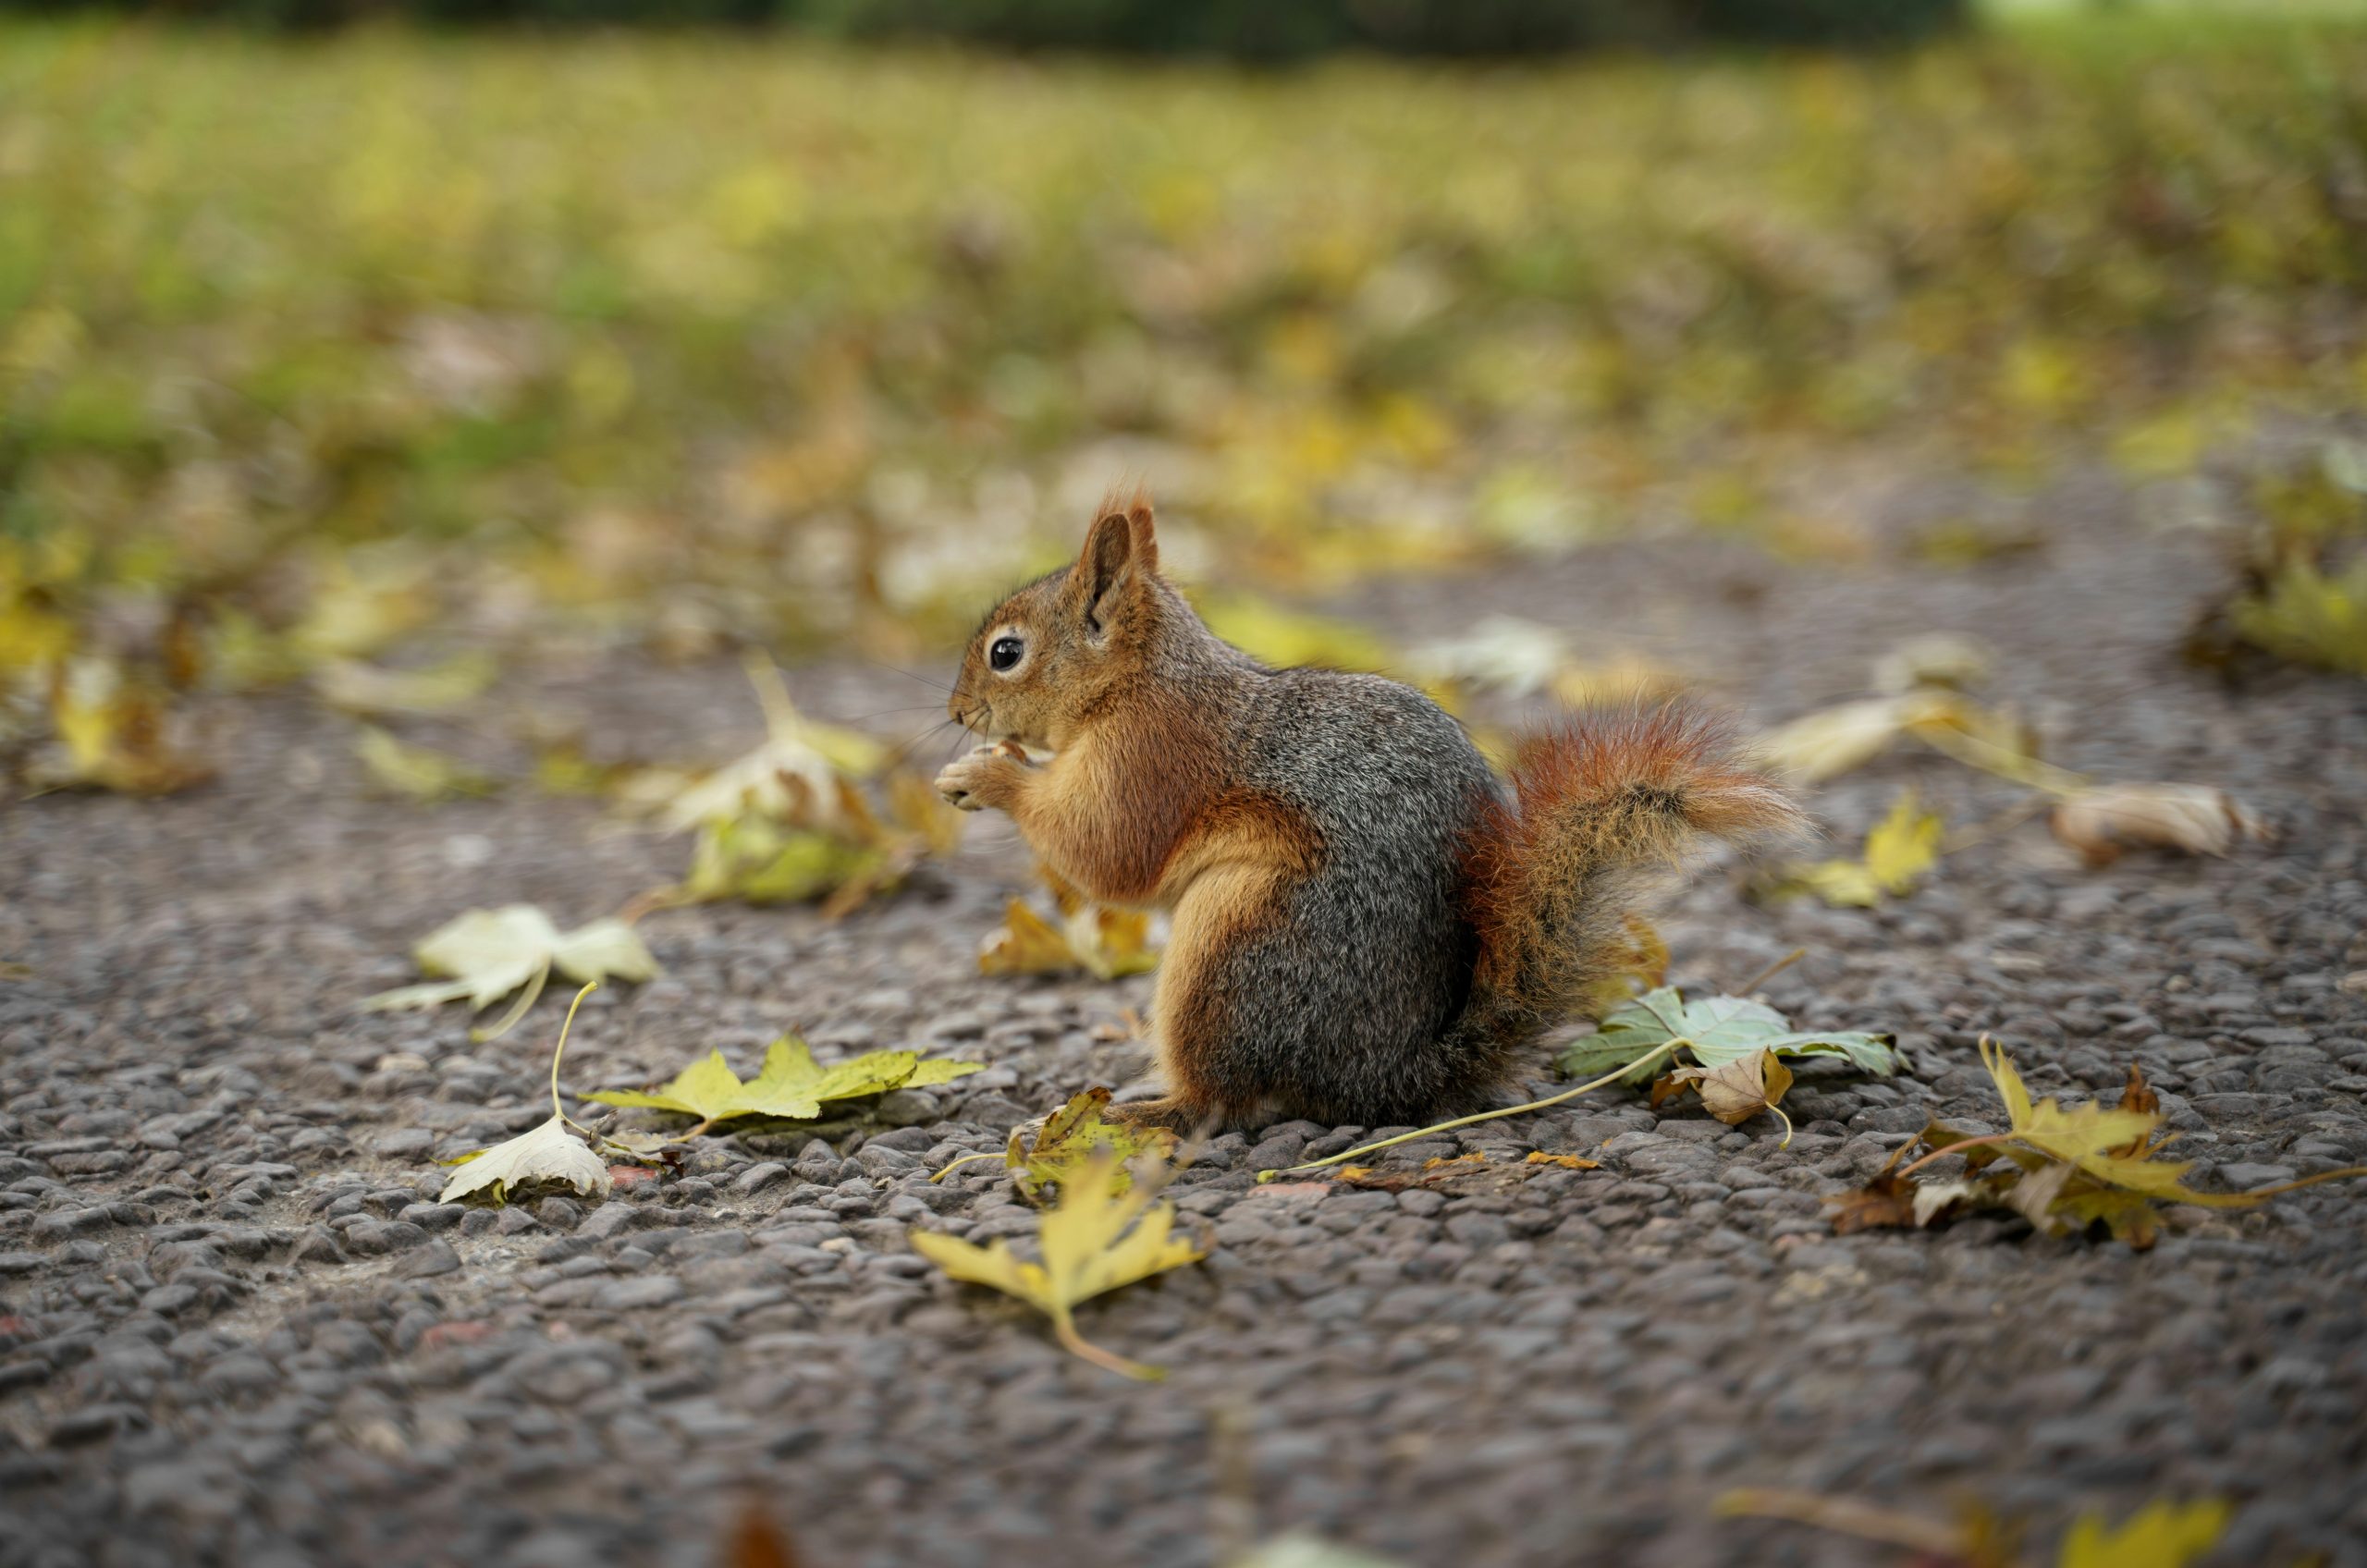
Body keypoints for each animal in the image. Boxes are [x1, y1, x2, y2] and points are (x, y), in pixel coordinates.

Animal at [934, 489, 1803, 1133]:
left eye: (1006, 653)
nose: (956, 712)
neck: (1142, 680)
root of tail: (1385, 1078)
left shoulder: (1151, 760)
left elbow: (1108, 851)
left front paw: (991, 776)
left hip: (1234, 947)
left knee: (1222, 1102)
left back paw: (1141, 1111)